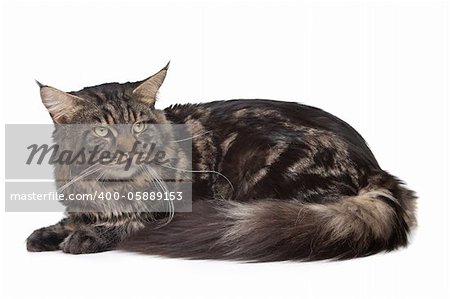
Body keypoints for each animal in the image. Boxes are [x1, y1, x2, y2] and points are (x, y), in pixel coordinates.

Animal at [26, 63, 416, 262]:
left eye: (138, 126)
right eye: (101, 131)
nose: (129, 150)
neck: (106, 188)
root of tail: (376, 168)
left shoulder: (169, 208)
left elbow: (128, 222)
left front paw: (85, 237)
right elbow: (71, 219)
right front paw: (48, 234)